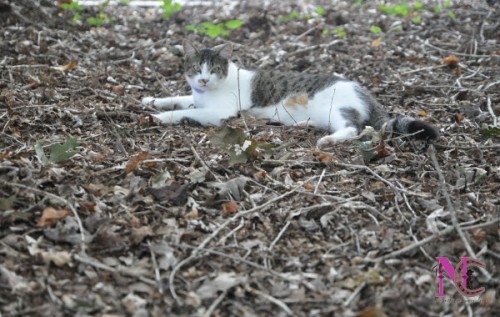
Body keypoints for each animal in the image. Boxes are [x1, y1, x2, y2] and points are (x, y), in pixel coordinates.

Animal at [141, 40, 438, 147]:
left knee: (354, 128)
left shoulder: (219, 112)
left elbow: (182, 111)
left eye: (213, 69)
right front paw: (152, 100)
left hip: (334, 107)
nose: (203, 79)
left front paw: (159, 117)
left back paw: (328, 140)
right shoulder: (196, 96)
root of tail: (364, 91)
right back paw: (303, 125)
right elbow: (179, 98)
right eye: (196, 68)